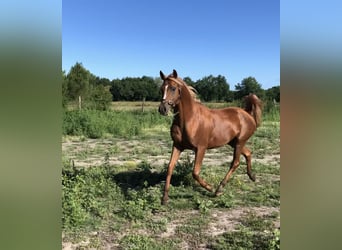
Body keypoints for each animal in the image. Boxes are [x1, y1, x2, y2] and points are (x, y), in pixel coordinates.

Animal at [159, 69, 264, 204]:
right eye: (161, 89)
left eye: (173, 88)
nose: (162, 109)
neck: (190, 119)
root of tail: (247, 114)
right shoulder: (177, 146)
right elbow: (170, 168)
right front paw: (165, 198)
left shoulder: (201, 148)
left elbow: (195, 172)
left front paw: (210, 188)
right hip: (234, 142)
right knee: (248, 153)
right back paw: (252, 176)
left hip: (240, 142)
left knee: (235, 163)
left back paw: (219, 189)